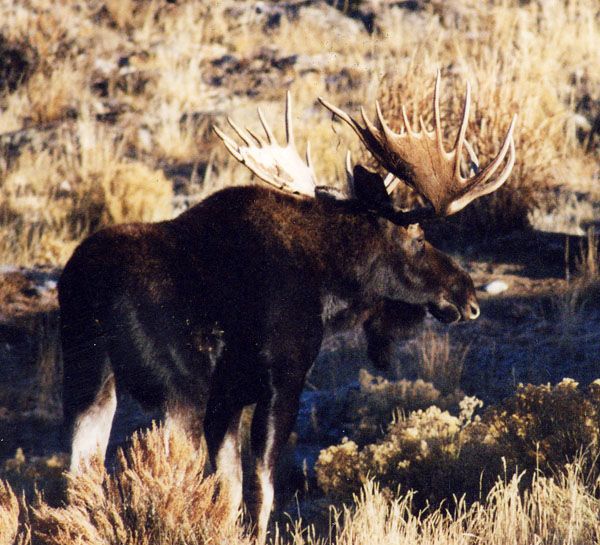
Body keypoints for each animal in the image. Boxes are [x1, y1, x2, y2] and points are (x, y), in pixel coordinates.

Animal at [58, 71, 512, 540]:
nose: (467, 295)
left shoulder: (228, 399)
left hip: (87, 378)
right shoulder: (282, 381)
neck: (331, 289)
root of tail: (89, 290)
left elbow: (229, 492)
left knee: (79, 474)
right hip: (178, 389)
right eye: (418, 238)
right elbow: (261, 491)